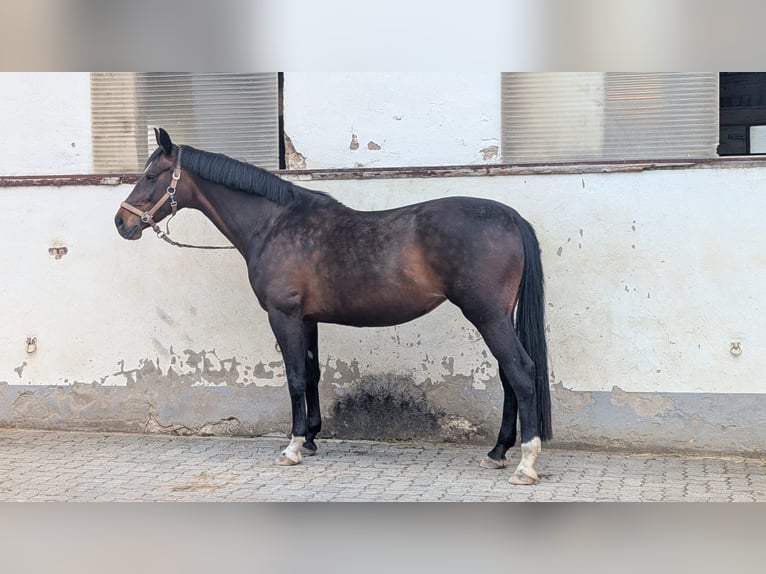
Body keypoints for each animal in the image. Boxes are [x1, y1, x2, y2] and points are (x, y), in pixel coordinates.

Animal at [115, 128, 552, 485]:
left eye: (152, 176)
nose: (122, 222)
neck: (274, 225)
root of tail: (510, 217)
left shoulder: (284, 316)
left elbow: (293, 378)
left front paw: (292, 448)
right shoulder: (307, 320)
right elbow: (311, 374)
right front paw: (310, 438)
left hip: (487, 315)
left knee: (520, 371)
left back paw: (525, 464)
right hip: (498, 316)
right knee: (508, 375)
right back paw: (497, 452)